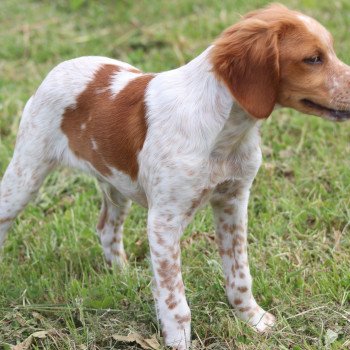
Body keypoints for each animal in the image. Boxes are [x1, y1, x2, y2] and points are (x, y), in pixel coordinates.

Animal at [0, 3, 350, 350]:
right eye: (313, 58)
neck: (225, 132)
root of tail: (60, 67)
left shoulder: (234, 202)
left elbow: (239, 274)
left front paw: (253, 319)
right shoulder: (164, 221)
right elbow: (174, 298)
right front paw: (178, 339)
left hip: (116, 184)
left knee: (107, 229)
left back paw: (124, 275)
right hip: (26, 173)